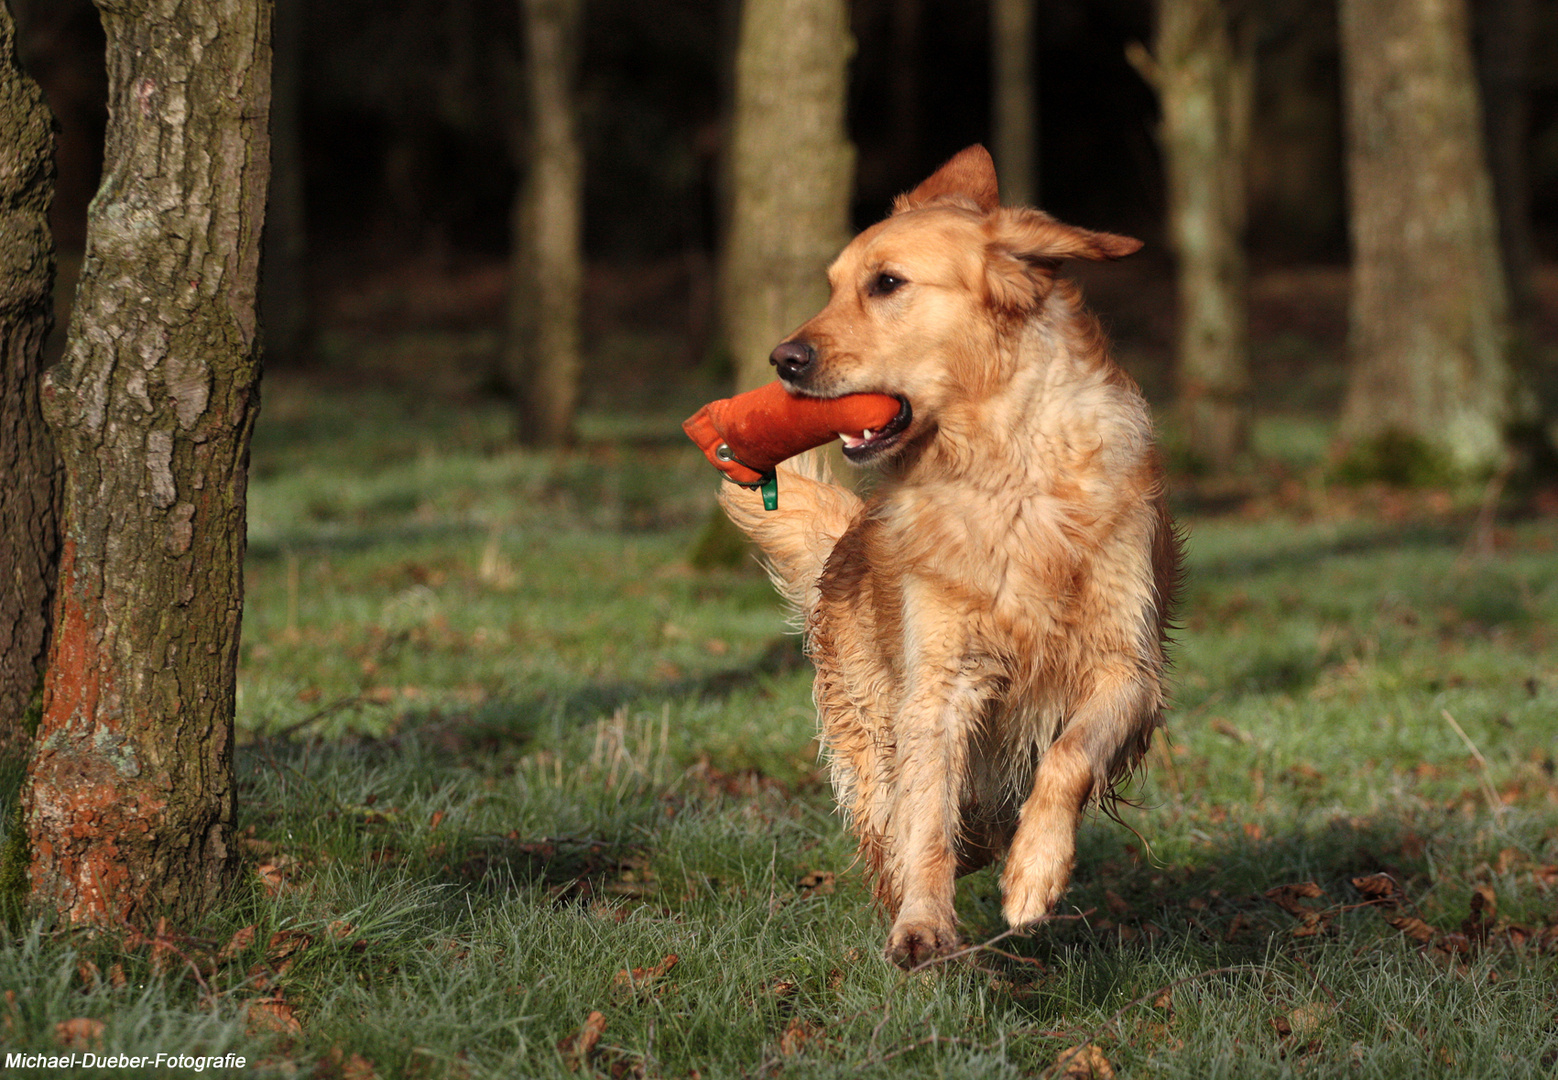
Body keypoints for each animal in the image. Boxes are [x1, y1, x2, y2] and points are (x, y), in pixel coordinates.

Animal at [719, 145, 1177, 966]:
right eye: (833, 285)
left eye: (887, 284)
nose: (783, 359)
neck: (1003, 469)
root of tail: (844, 541)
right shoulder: (938, 682)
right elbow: (927, 815)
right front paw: (924, 922)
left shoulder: (1127, 667)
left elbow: (1067, 757)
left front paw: (1034, 874)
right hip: (869, 727)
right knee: (895, 823)